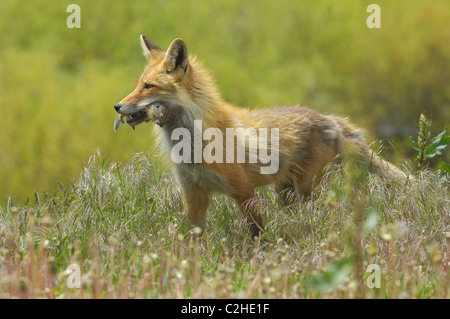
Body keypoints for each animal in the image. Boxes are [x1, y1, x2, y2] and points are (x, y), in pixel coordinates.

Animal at [113, 36, 408, 239]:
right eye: (137, 84)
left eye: (148, 86)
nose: (117, 106)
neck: (193, 145)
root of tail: (327, 118)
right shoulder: (194, 194)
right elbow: (191, 237)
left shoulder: (243, 191)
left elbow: (257, 233)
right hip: (285, 192)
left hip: (305, 189)